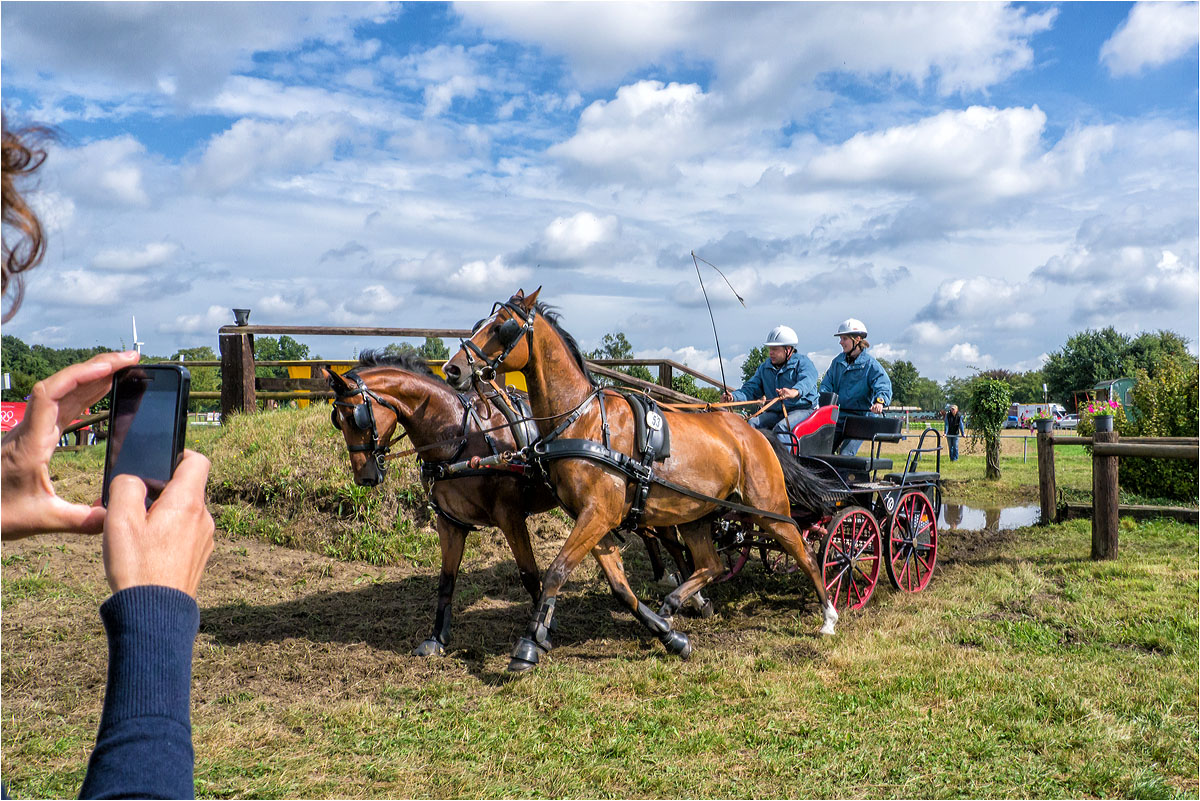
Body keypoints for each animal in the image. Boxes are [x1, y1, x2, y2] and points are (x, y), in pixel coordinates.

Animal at [324, 350, 700, 657]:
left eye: (358, 417)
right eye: (337, 421)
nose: (365, 477)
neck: (459, 438)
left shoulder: (510, 516)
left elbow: (530, 574)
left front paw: (543, 629)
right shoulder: (450, 522)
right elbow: (446, 580)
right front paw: (437, 638)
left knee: (669, 537)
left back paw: (689, 592)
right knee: (654, 536)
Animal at [446, 284, 840, 671]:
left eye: (503, 327)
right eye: (481, 323)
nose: (452, 370)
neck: (583, 420)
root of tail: (755, 433)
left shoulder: (597, 515)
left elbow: (556, 571)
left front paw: (529, 645)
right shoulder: (595, 520)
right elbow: (620, 586)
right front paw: (671, 637)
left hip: (769, 509)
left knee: (804, 552)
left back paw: (829, 615)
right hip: (695, 515)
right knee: (710, 564)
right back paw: (675, 603)